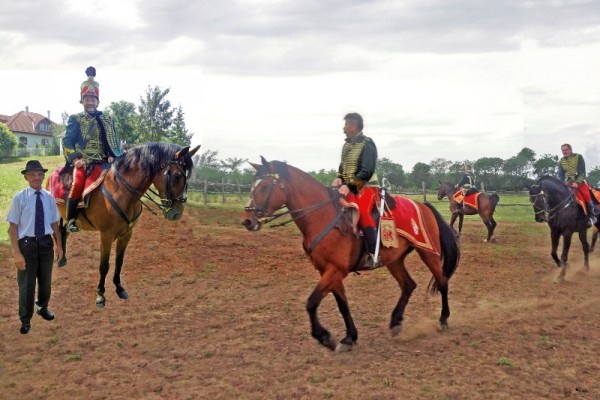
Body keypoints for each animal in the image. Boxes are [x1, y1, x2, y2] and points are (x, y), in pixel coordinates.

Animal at [49, 142, 199, 308]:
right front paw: (100, 295)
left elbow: (119, 262)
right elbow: (104, 265)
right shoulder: (106, 235)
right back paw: (59, 259)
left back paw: (63, 259)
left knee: (64, 232)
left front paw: (119, 288)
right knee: (57, 233)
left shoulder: (127, 234)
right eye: (177, 176)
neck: (121, 190)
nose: (177, 214)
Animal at [239, 159, 460, 354]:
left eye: (265, 186)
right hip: (394, 260)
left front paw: (325, 337)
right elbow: (342, 304)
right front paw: (349, 338)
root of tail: (423, 206)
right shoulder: (328, 271)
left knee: (442, 281)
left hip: (429, 252)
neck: (323, 217)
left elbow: (311, 302)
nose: (247, 221)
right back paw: (396, 322)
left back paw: (443, 320)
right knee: (408, 285)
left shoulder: (335, 270)